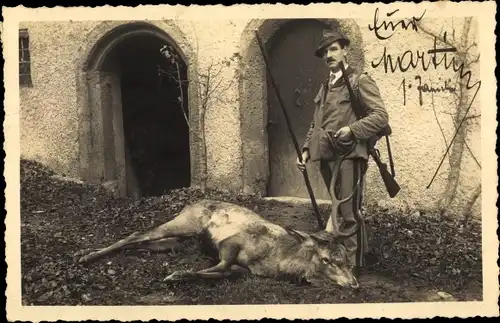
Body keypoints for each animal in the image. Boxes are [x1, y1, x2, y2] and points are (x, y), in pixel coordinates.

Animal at [76, 149, 362, 288]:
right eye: (326, 259)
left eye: (348, 259)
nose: (354, 284)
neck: (280, 264)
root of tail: (193, 202)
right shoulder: (233, 242)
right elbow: (222, 266)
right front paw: (175, 276)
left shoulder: (245, 270)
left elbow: (226, 273)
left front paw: (180, 275)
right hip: (184, 222)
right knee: (139, 233)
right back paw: (85, 256)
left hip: (181, 239)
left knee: (150, 243)